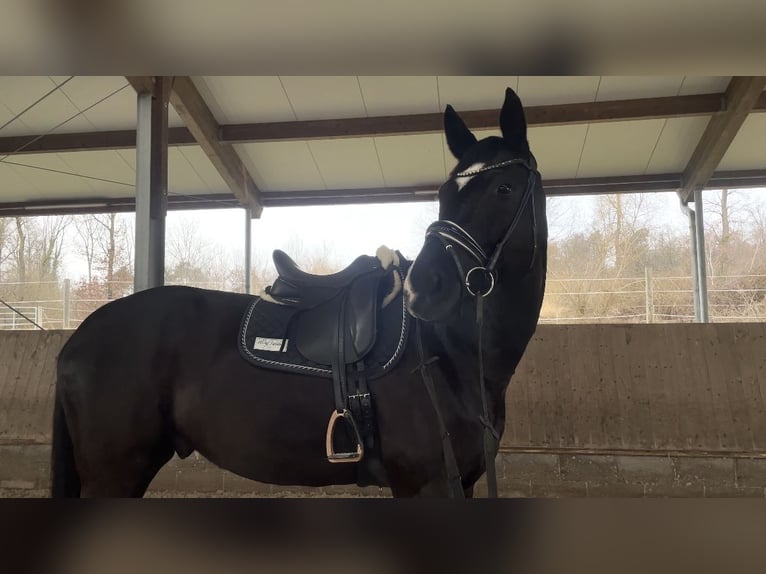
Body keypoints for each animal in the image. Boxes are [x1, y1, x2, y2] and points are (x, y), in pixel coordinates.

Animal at [50, 86, 548, 498]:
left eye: (504, 188)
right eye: (445, 193)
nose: (423, 287)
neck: (453, 353)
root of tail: (80, 336)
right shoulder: (426, 485)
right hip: (114, 476)